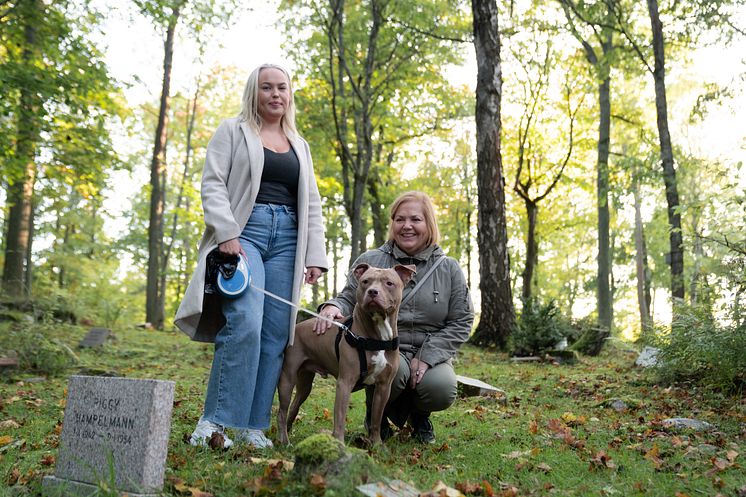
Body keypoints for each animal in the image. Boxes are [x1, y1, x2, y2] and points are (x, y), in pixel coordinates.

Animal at [274, 262, 412, 444]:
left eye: (389, 283)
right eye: (365, 281)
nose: (372, 292)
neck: (377, 335)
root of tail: (295, 328)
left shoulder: (384, 387)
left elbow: (376, 418)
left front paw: (376, 444)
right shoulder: (345, 383)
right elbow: (340, 418)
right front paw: (339, 443)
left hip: (304, 383)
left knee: (295, 405)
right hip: (287, 379)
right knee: (282, 411)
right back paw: (284, 440)